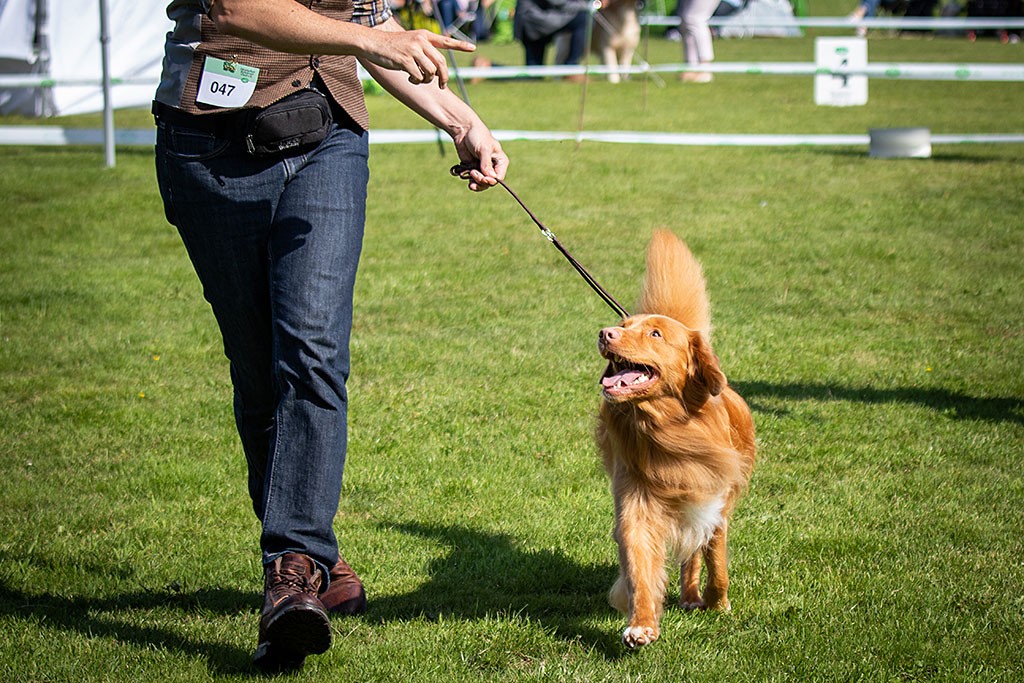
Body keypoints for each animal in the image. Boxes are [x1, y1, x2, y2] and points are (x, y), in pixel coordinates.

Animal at [598, 232, 757, 651]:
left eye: (654, 333)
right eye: (623, 324)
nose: (604, 333)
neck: (667, 429)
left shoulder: (713, 499)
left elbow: (715, 556)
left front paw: (718, 602)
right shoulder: (636, 501)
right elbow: (639, 565)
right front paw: (641, 624)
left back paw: (694, 596)